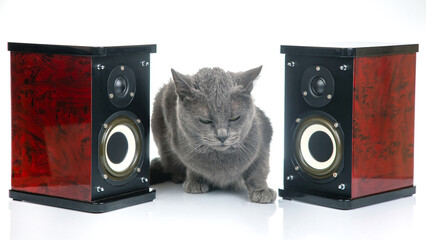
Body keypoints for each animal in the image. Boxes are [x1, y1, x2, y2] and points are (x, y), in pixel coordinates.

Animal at [150, 66, 276, 203]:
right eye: (205, 120)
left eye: (234, 118)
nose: (222, 136)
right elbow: (192, 167)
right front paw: (195, 181)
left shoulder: (264, 134)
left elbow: (259, 168)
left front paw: (262, 190)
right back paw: (177, 176)